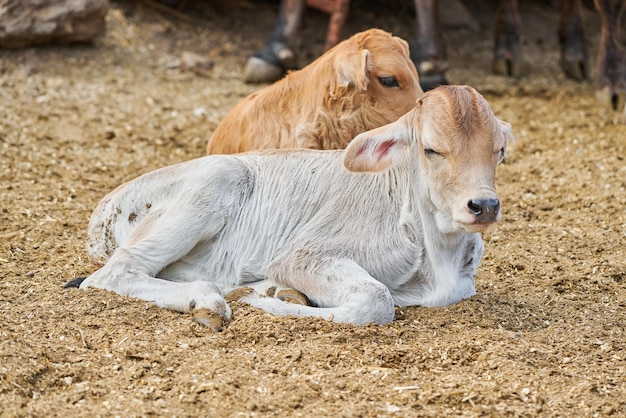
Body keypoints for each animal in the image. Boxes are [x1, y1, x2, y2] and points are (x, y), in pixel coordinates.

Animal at [72, 86, 512, 330]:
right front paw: (266, 301)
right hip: (217, 179)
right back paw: (210, 301)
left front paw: (271, 294)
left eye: (499, 150)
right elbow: (377, 300)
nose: (483, 205)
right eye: (432, 149)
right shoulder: (301, 255)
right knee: (115, 274)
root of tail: (104, 206)